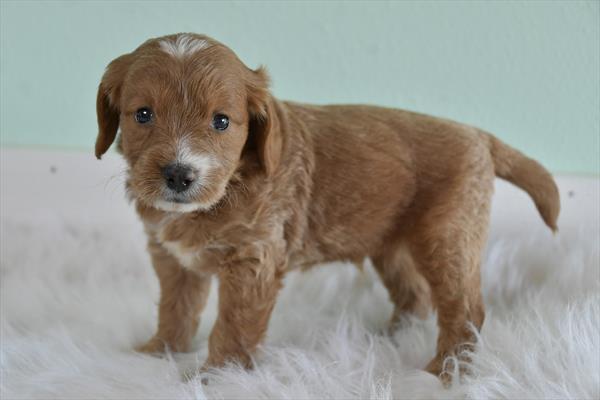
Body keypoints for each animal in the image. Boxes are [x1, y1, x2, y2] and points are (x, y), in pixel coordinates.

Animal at [95, 32, 564, 380]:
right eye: (142, 115)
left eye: (221, 121)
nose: (179, 174)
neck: (228, 188)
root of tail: (479, 135)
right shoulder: (174, 260)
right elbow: (176, 309)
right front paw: (158, 352)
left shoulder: (253, 261)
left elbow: (232, 324)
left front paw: (218, 376)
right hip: (391, 243)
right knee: (414, 295)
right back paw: (388, 338)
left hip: (447, 236)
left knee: (465, 309)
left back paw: (442, 375)